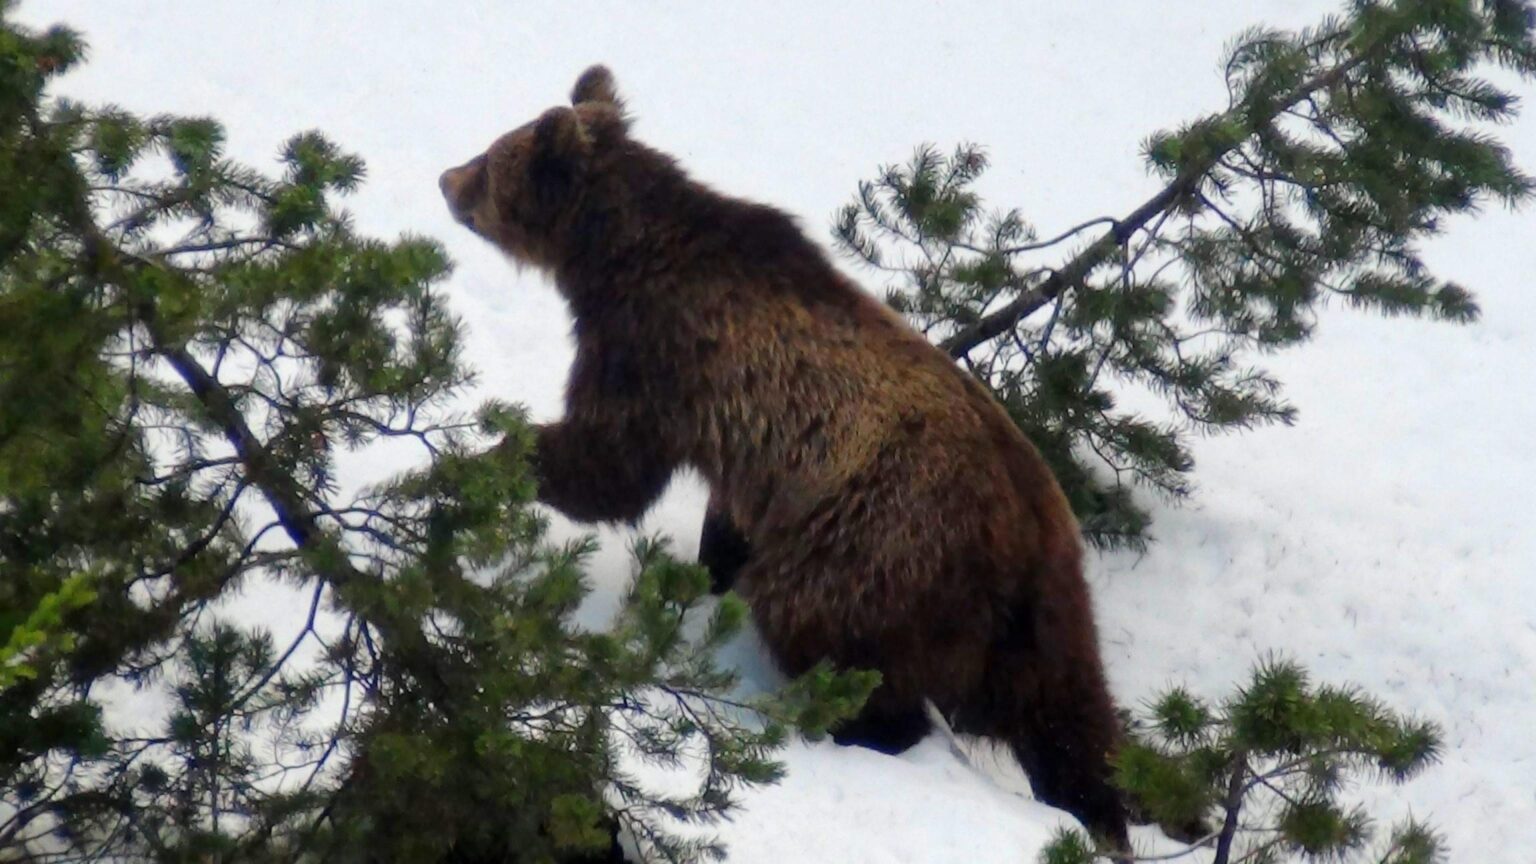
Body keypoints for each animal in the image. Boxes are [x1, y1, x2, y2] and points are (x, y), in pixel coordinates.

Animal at [439, 67, 1136, 848]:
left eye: (491, 160)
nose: (446, 178)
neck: (615, 256)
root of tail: (1024, 531)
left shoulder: (655, 350)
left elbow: (608, 465)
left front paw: (480, 457)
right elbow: (715, 515)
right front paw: (705, 571)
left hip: (876, 543)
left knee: (826, 628)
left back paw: (848, 725)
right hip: (1048, 609)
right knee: (1071, 718)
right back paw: (1101, 812)